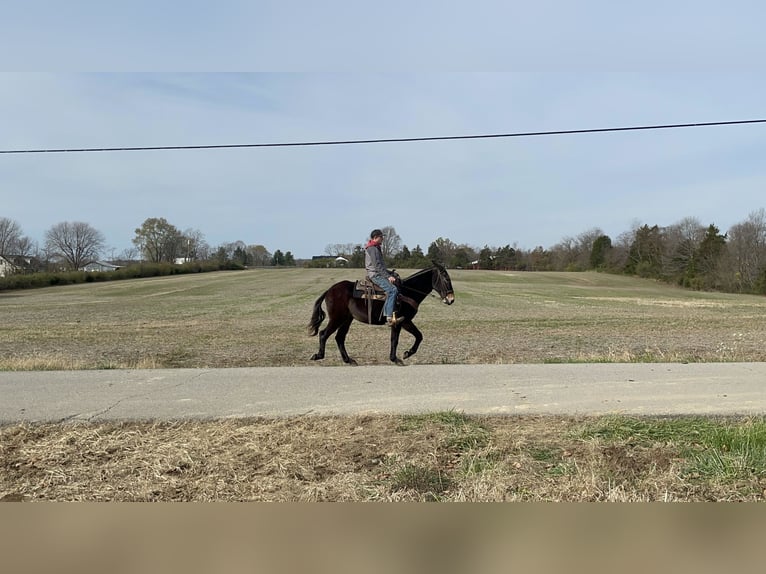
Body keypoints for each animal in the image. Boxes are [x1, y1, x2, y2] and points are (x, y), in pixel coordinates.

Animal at [308, 264, 456, 366]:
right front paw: (397, 358)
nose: (451, 299)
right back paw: (318, 356)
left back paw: (349, 360)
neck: (407, 292)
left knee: (339, 338)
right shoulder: (401, 322)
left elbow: (418, 336)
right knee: (324, 334)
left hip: (346, 320)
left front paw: (406, 354)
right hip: (337, 318)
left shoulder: (404, 321)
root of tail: (329, 290)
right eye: (445, 278)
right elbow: (396, 340)